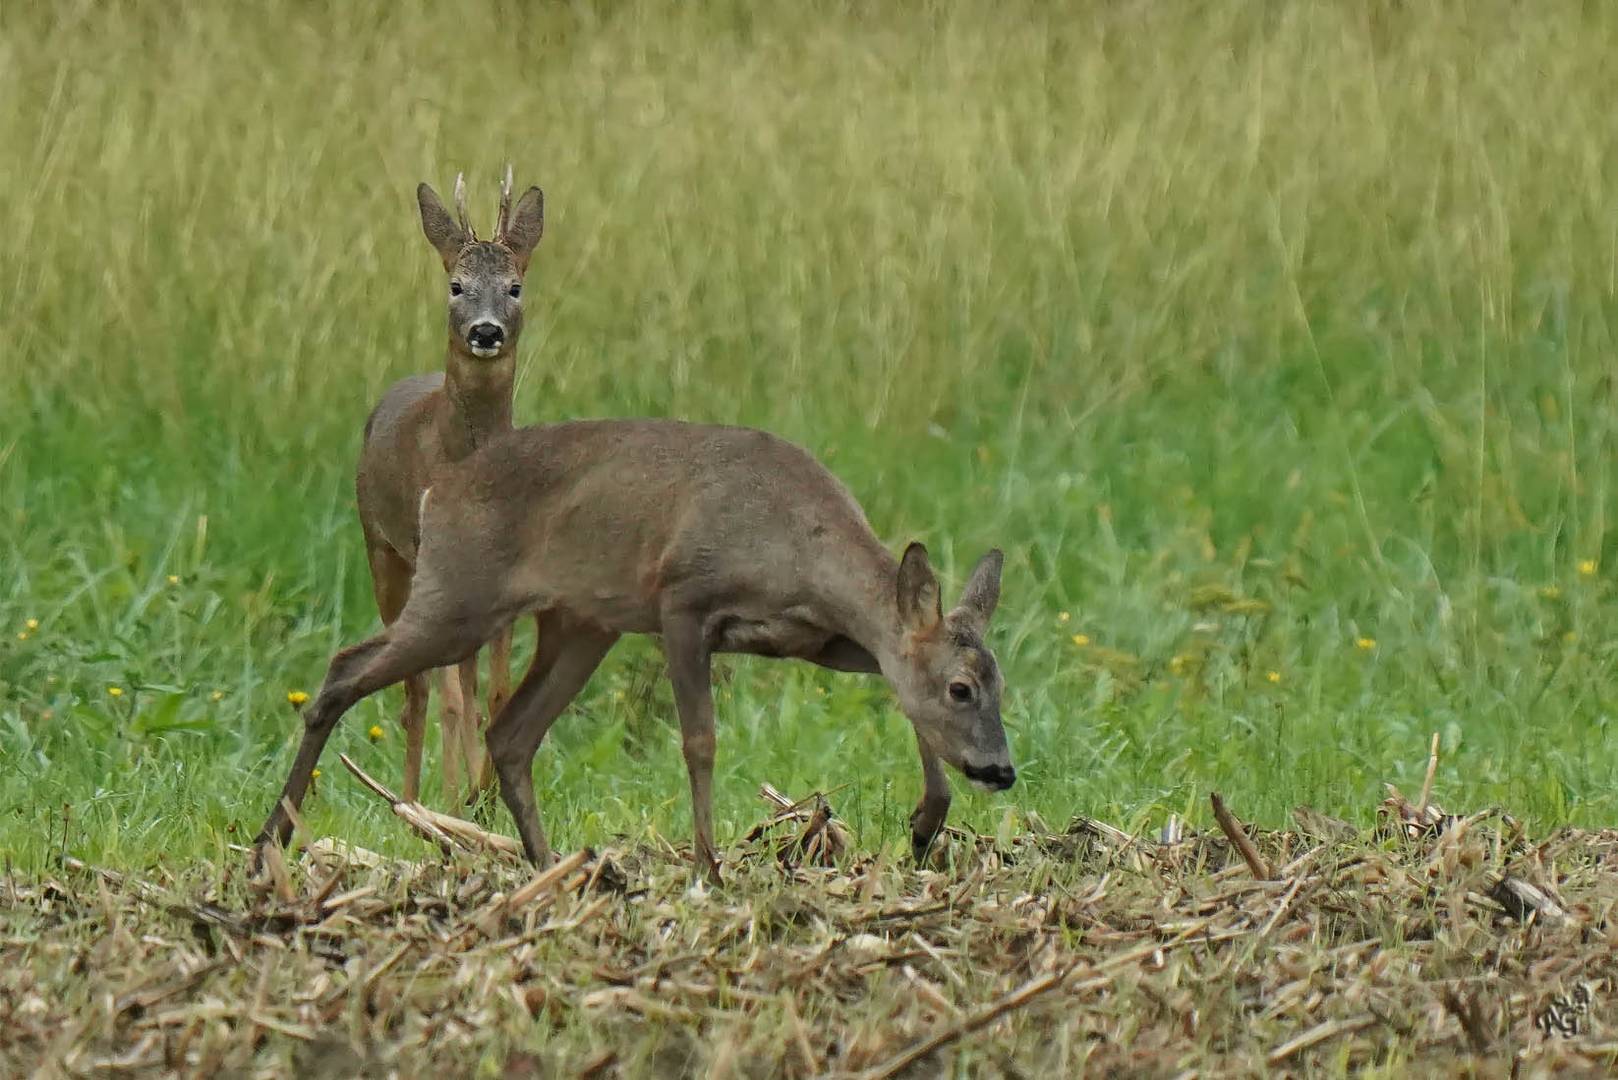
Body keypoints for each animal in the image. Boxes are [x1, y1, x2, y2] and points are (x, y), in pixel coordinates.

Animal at [255, 420, 1009, 880]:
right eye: (961, 688)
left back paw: (548, 863)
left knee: (510, 733)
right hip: (457, 598)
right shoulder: (682, 602)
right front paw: (707, 866)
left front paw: (924, 825)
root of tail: (436, 491)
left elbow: (900, 694)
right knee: (344, 669)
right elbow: (699, 740)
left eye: (998, 684)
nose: (1001, 770)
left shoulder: (829, 642)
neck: (799, 549)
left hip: (579, 625)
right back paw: (270, 841)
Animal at [359, 169, 546, 806]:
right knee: (415, 688)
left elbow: (494, 690)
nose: (485, 332)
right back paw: (411, 797)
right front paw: (446, 797)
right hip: (382, 549)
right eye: (457, 285)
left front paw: (484, 793)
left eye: (515, 287)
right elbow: (448, 697)